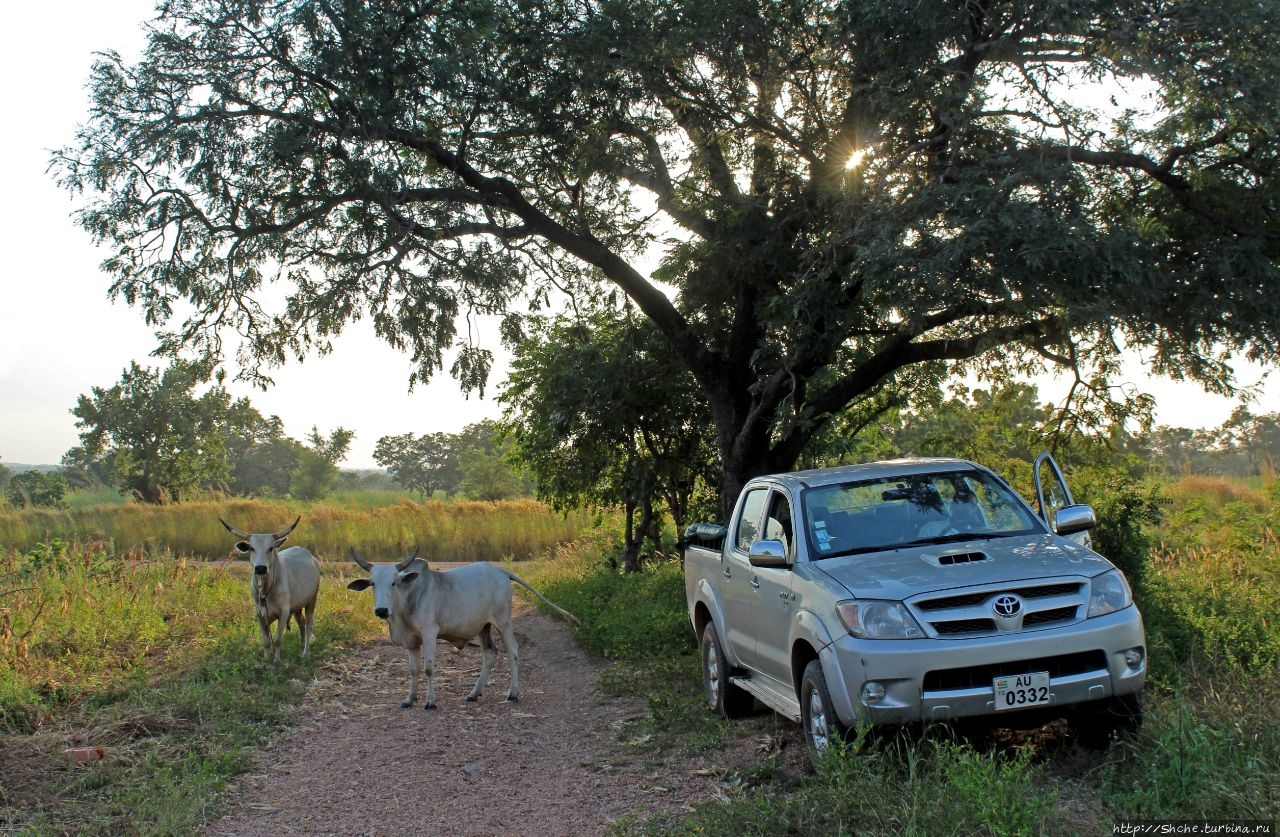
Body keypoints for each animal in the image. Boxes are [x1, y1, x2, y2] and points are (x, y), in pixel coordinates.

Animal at [220, 517, 322, 660]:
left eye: (270, 548)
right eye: (252, 548)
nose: (260, 568)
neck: (265, 589)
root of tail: (312, 558)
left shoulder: (284, 612)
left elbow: (278, 639)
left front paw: (277, 660)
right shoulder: (259, 613)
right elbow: (267, 641)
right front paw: (267, 658)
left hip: (312, 600)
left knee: (308, 626)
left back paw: (305, 653)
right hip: (297, 606)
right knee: (301, 623)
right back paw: (302, 647)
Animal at [343, 547, 578, 711]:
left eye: (394, 583)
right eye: (372, 583)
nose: (381, 610)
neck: (408, 598)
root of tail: (501, 571)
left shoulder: (429, 633)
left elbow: (428, 668)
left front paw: (430, 702)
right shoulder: (411, 642)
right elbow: (413, 669)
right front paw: (409, 699)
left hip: (503, 622)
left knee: (512, 651)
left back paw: (513, 693)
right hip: (483, 627)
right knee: (490, 653)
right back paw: (474, 694)